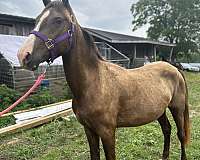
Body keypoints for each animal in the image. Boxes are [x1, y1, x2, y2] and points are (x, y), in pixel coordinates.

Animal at [16, 0, 189, 159]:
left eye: (58, 20)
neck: (94, 83)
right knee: (167, 130)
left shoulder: (107, 132)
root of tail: (174, 68)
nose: (23, 55)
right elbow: (95, 154)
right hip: (160, 111)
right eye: (36, 20)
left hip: (177, 108)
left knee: (180, 135)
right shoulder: (89, 130)